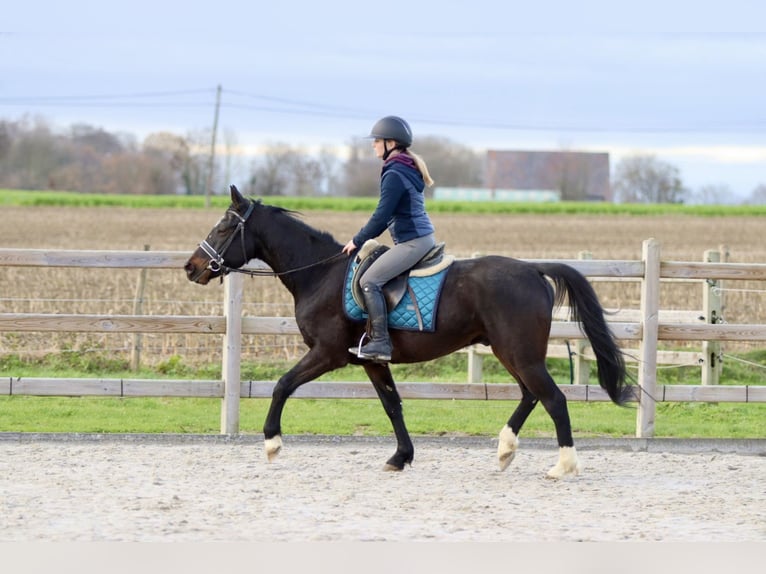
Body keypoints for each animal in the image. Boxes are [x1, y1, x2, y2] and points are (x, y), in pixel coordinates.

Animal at [184, 185, 632, 478]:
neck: (320, 273)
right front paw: (401, 457)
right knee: (530, 395)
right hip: (511, 352)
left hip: (519, 353)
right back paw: (505, 450)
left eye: (223, 227)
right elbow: (392, 405)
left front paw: (272, 442)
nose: (191, 267)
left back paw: (563, 465)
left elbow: (282, 385)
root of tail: (534, 270)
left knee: (552, 398)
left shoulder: (327, 354)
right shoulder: (371, 361)